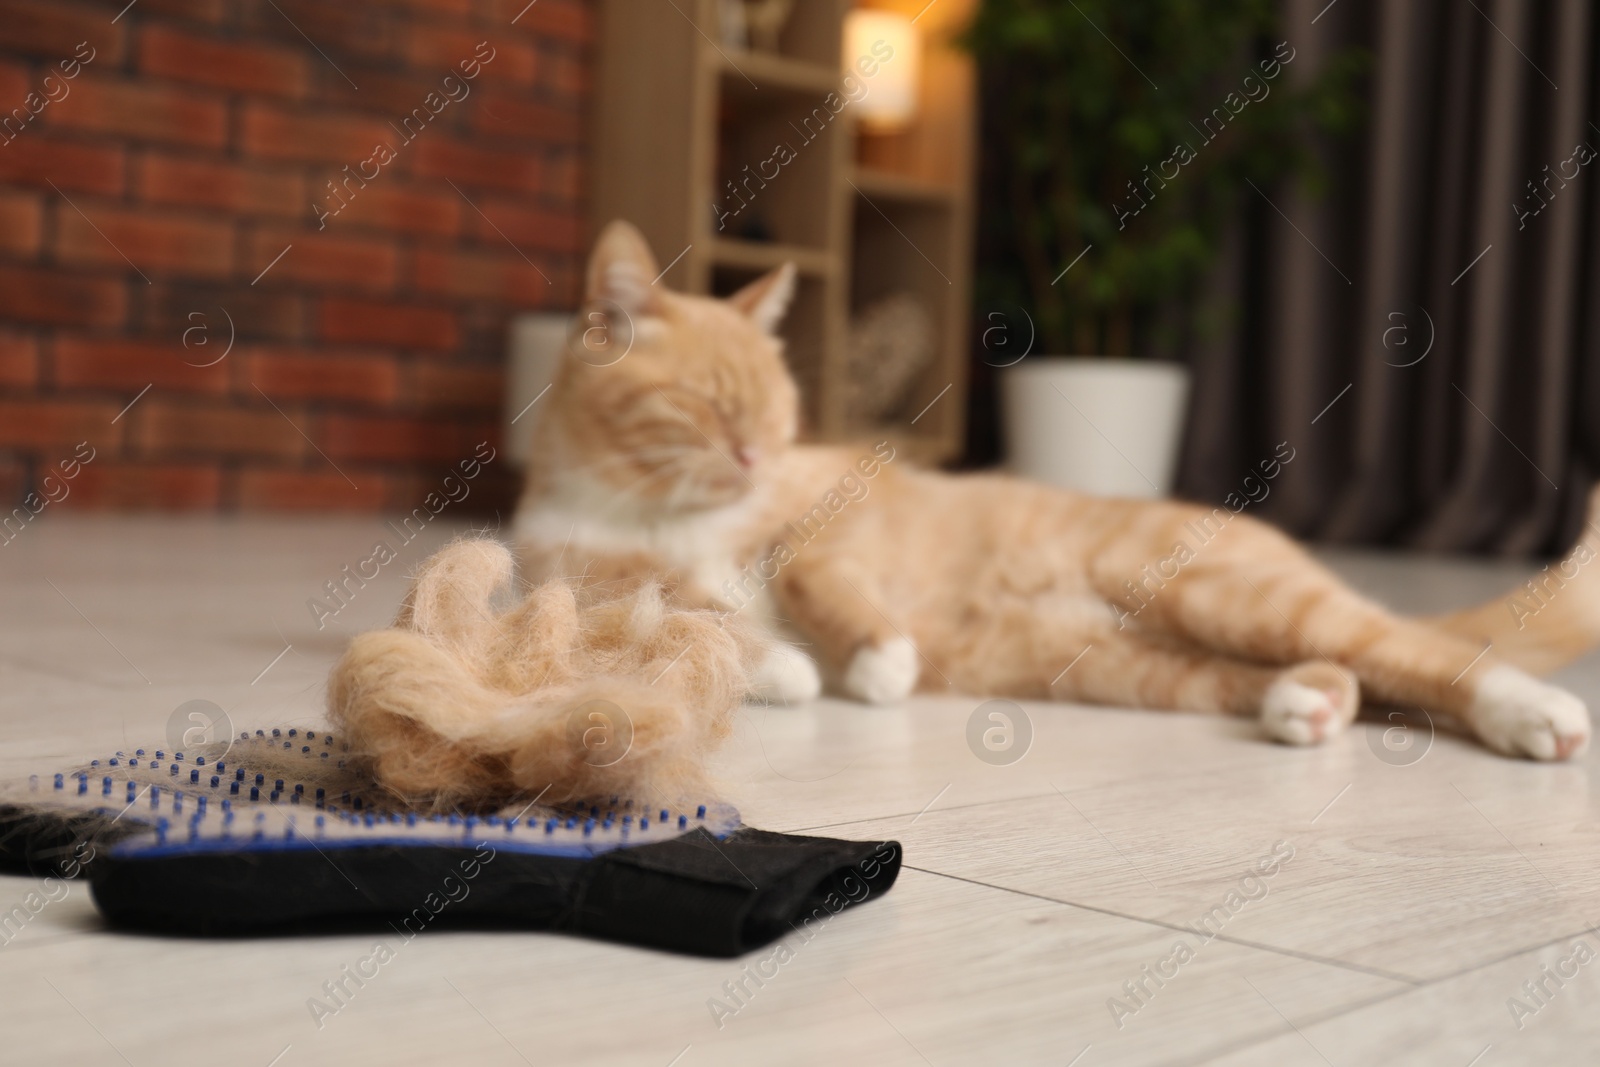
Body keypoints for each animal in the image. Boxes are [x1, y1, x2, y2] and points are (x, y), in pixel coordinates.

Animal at [518, 220, 1593, 764]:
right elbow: (691, 618)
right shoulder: (585, 584)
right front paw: (780, 663)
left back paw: (1529, 712)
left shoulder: (840, 509)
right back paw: (1309, 701)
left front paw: (871, 656)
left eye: (778, 413)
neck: (668, 513)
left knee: (1422, 654)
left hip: (1229, 594)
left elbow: (818, 573)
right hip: (1130, 661)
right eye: (705, 404)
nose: (752, 455)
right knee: (1345, 677)